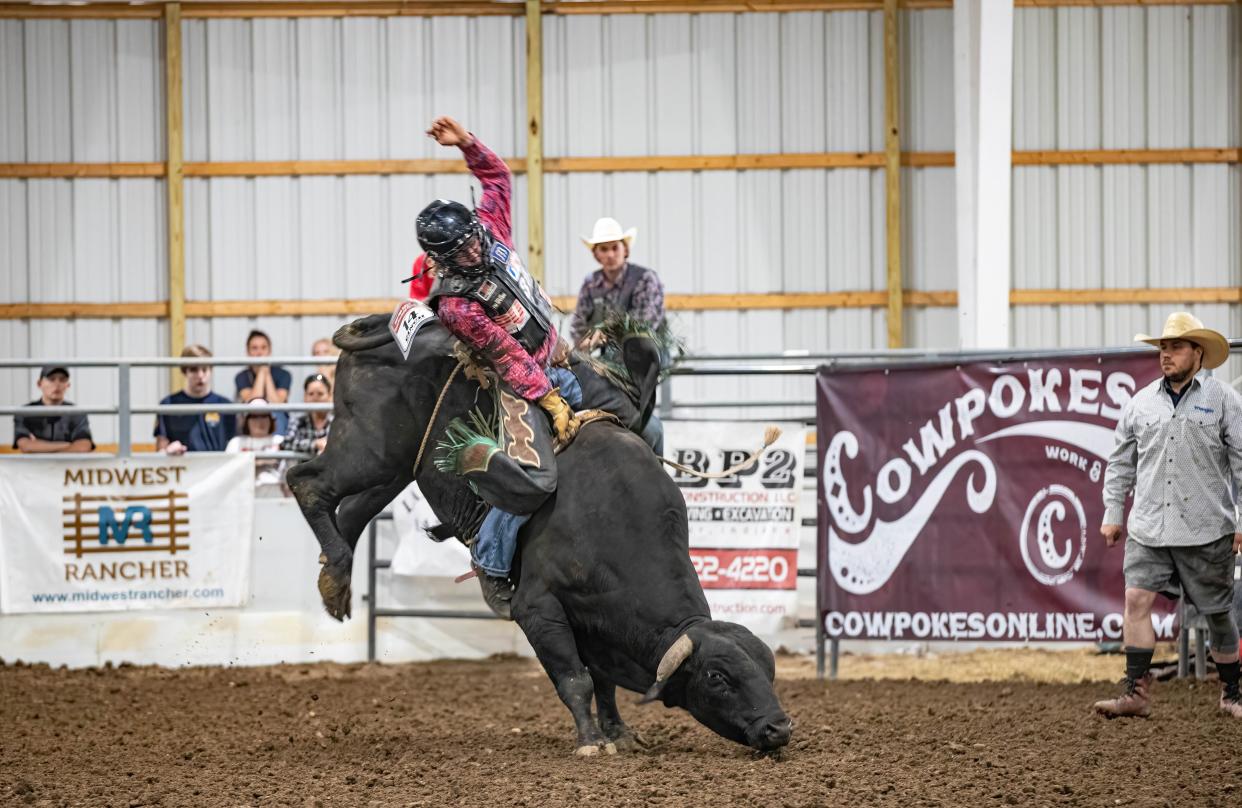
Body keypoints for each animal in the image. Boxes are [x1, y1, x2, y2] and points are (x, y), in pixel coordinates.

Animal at [285, 314, 789, 754]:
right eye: (718, 678)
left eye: (768, 669)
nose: (778, 728)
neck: (615, 527)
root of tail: (382, 325)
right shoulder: (539, 610)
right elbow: (576, 679)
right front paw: (590, 741)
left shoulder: (597, 628)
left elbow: (604, 684)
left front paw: (619, 733)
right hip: (368, 447)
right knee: (306, 482)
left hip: (396, 465)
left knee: (351, 509)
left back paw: (334, 583)